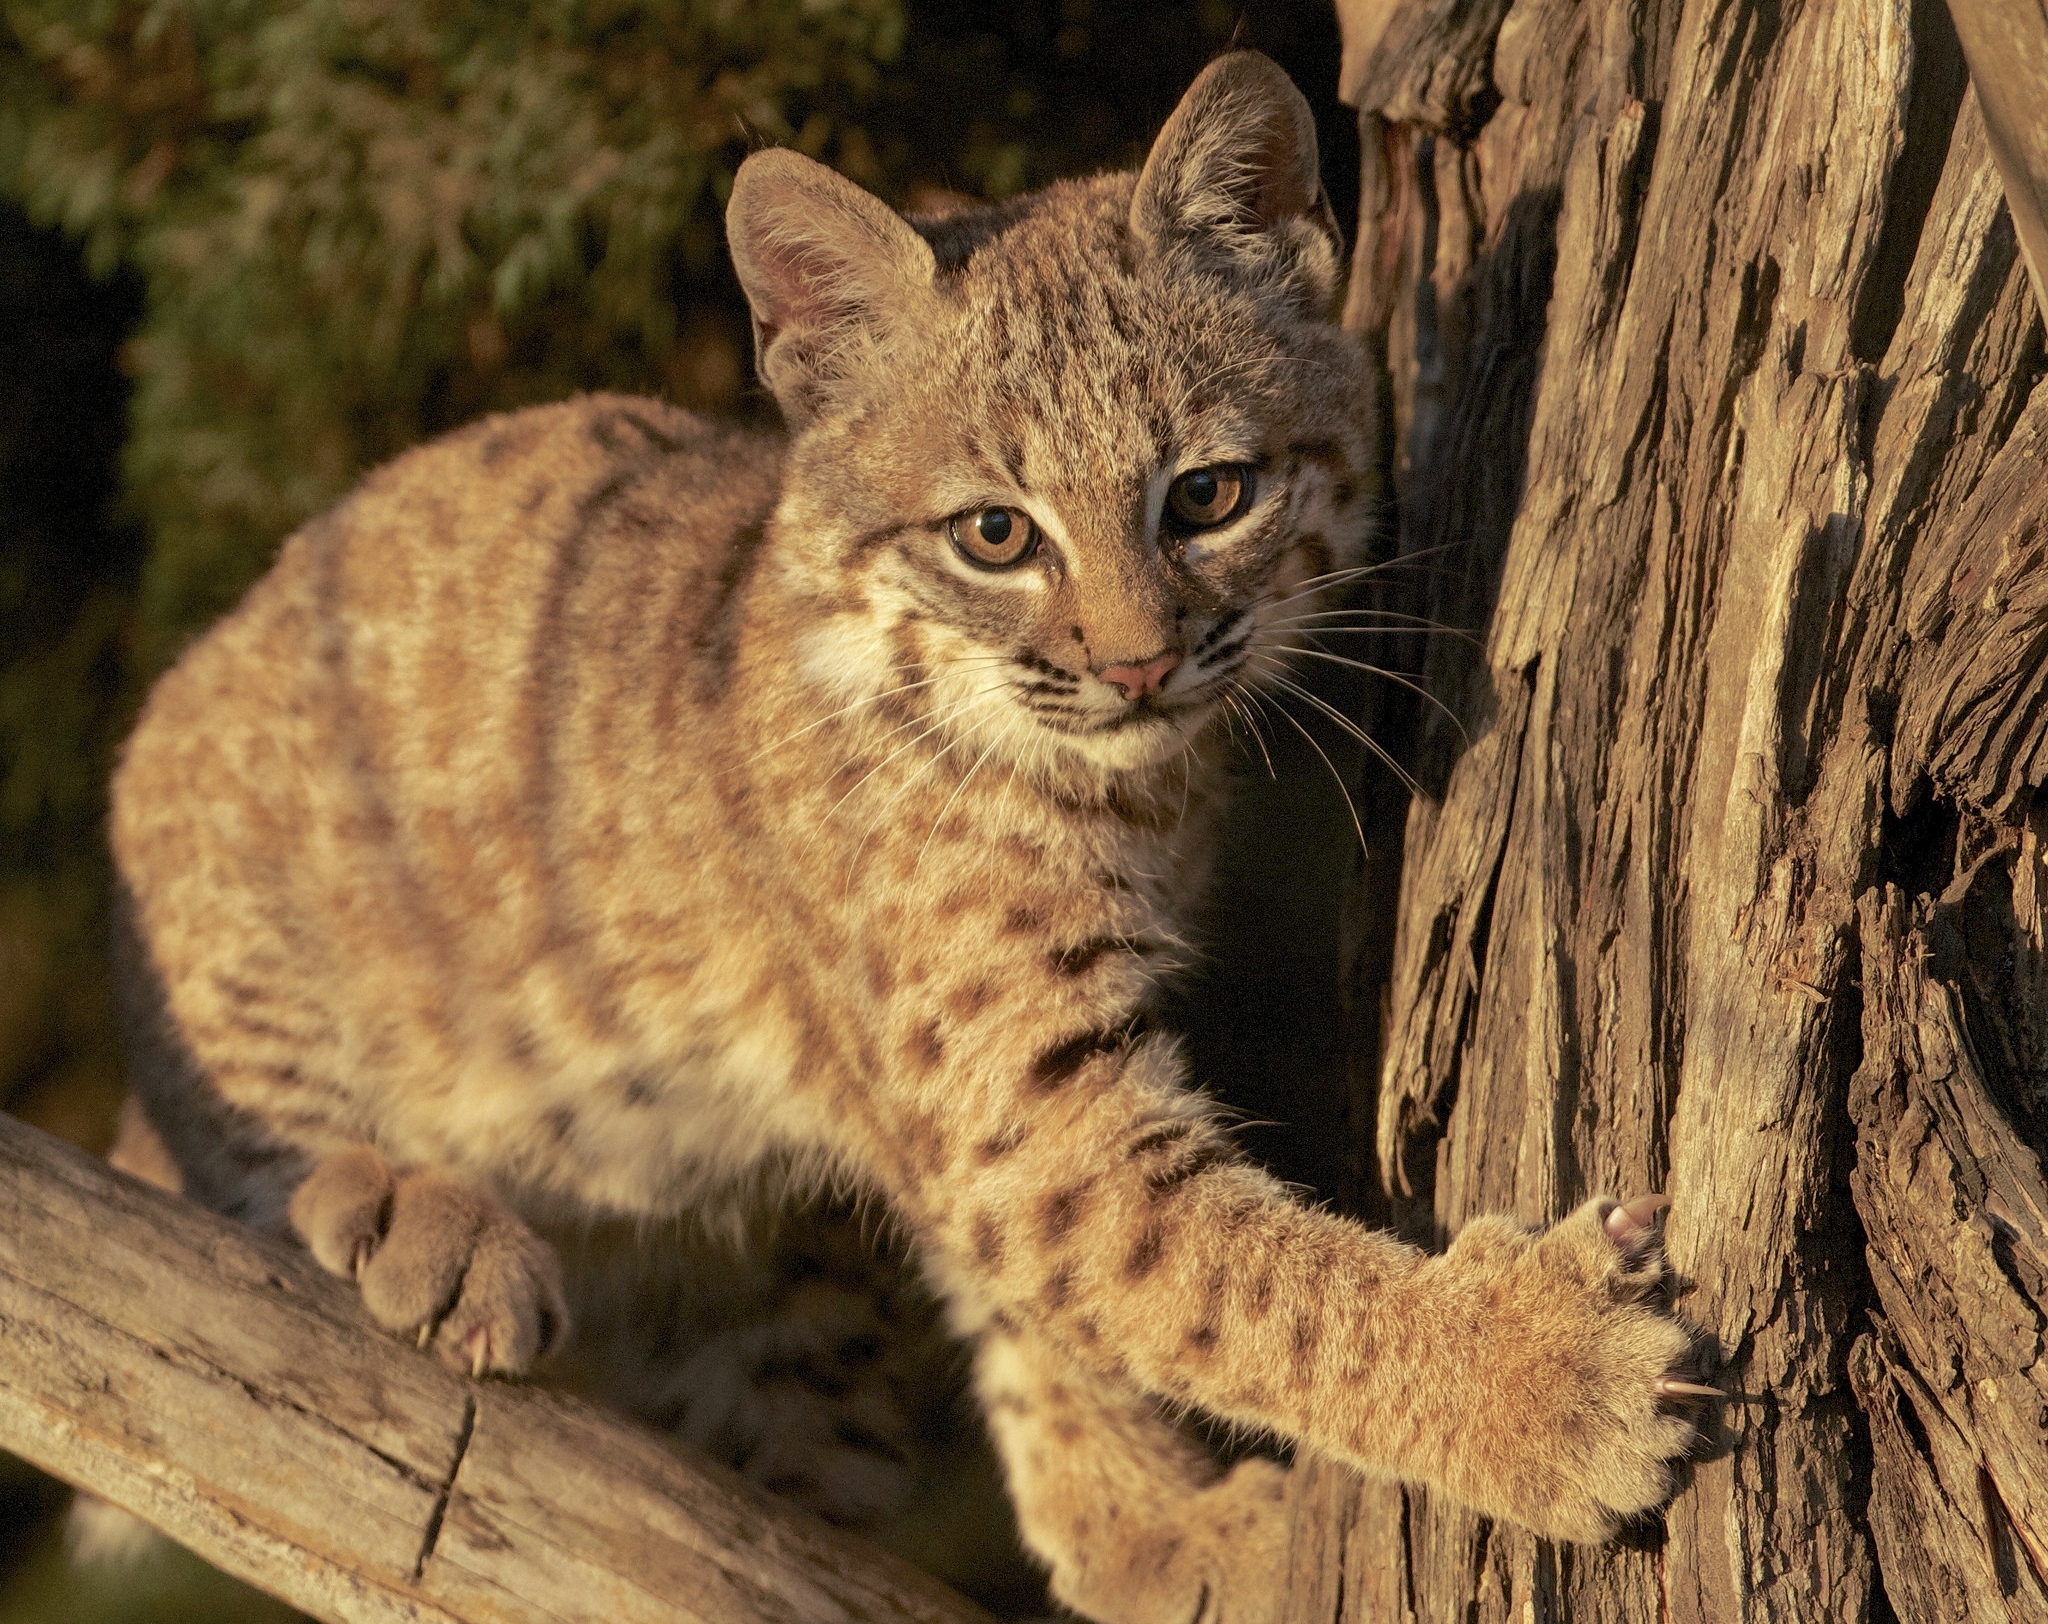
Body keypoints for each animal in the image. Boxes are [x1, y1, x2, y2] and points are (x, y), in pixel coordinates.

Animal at [119, 50, 1703, 1621]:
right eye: (993, 536)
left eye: (1207, 497)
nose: (1138, 665)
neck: (1103, 778)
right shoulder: (1021, 1108)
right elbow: (1235, 1287)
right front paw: (1541, 1384)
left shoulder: (1002, 1086)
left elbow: (1067, 1311)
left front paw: (1142, 1533)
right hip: (217, 837)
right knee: (224, 1152)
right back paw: (407, 1213)